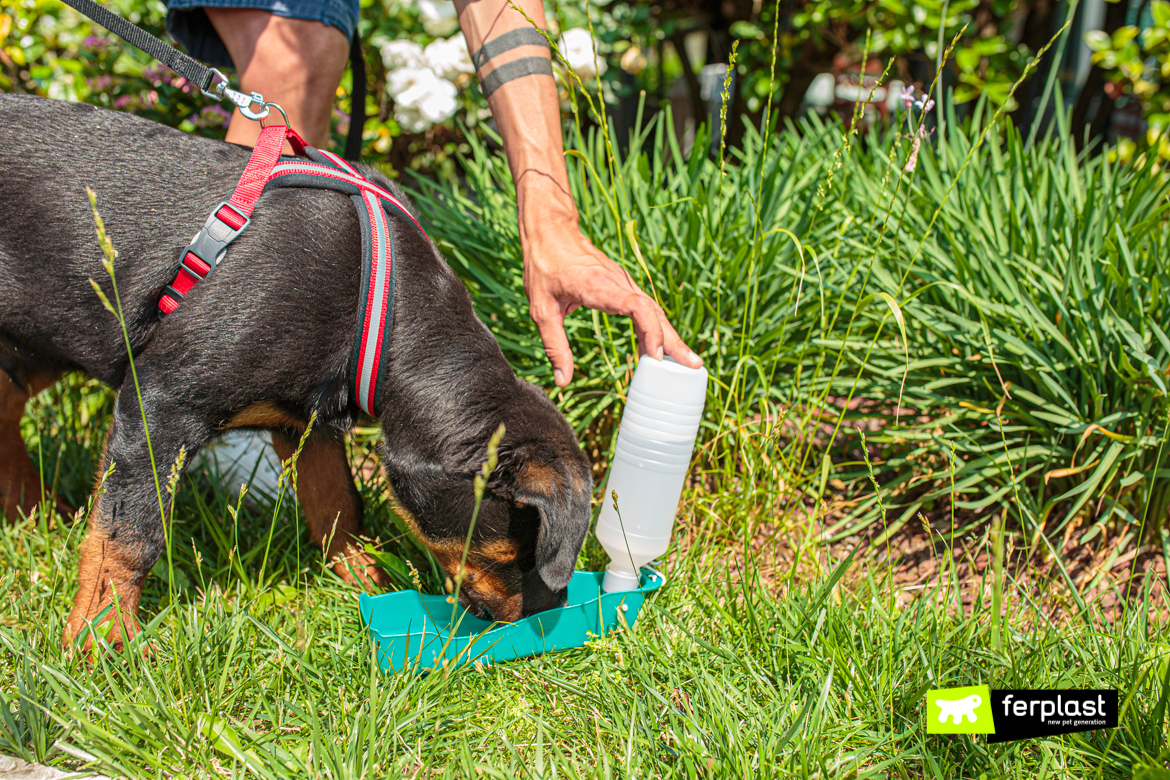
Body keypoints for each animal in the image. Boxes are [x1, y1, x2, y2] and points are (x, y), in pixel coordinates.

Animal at [0, 92, 589, 654]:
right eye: (520, 551)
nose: (543, 618)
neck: (381, 309)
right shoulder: (160, 404)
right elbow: (128, 534)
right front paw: (101, 641)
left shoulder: (306, 419)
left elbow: (337, 505)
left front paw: (366, 583)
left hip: (40, 341)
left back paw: (32, 510)